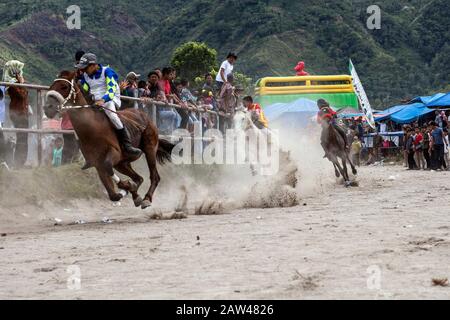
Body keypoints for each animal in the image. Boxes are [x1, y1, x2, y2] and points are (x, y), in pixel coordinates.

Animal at [43, 71, 174, 209]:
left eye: (64, 86)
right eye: (52, 85)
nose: (48, 108)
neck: (92, 127)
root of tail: (146, 116)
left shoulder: (113, 154)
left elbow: (109, 168)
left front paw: (127, 187)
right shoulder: (97, 163)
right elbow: (113, 194)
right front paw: (129, 190)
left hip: (149, 149)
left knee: (154, 176)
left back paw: (147, 198)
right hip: (122, 163)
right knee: (139, 178)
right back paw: (135, 194)